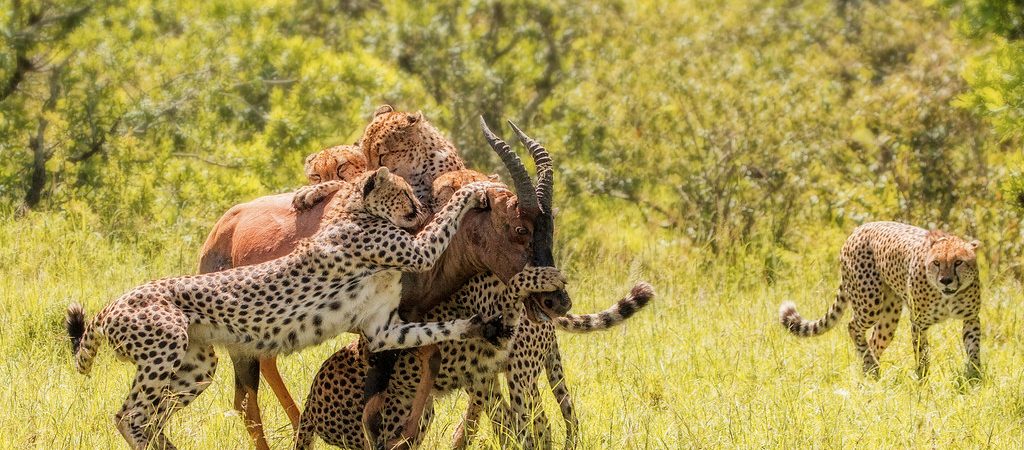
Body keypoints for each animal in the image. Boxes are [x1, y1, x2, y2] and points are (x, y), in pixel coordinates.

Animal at [63, 167, 510, 449]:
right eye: (402, 192)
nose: (417, 208)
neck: (352, 210)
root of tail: (110, 305)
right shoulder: (418, 252)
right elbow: (446, 221)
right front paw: (475, 189)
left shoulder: (383, 329)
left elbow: (437, 331)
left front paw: (482, 326)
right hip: (165, 350)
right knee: (129, 416)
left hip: (197, 366)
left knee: (152, 417)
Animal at [779, 221, 982, 380]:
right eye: (937, 263)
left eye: (958, 262)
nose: (945, 280)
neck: (948, 296)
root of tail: (860, 228)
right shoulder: (918, 323)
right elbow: (922, 353)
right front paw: (923, 381)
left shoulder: (971, 318)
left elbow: (973, 348)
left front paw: (975, 376)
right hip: (870, 304)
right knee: (853, 326)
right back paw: (869, 364)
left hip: (889, 315)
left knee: (875, 340)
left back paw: (871, 371)